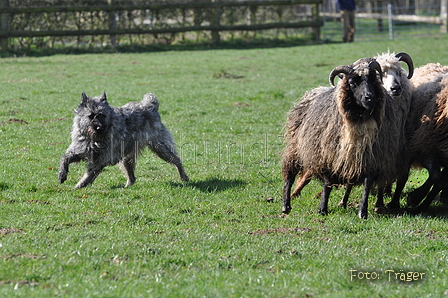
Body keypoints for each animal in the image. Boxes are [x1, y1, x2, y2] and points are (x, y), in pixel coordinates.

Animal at [58, 91, 189, 189]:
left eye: (102, 115)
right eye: (91, 116)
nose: (99, 128)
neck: (94, 139)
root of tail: (150, 106)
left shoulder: (100, 160)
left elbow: (89, 175)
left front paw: (79, 186)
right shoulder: (79, 150)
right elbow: (65, 158)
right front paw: (62, 175)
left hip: (160, 147)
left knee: (176, 160)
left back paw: (184, 177)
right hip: (127, 156)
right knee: (132, 176)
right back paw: (128, 185)